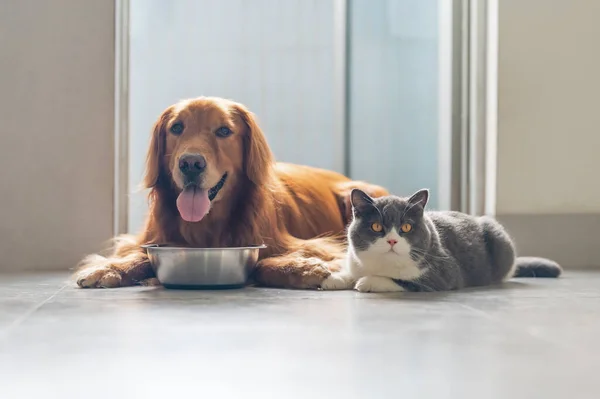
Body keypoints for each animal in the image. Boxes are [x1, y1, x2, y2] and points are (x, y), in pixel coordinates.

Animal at [75, 97, 386, 290]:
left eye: (224, 131)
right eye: (176, 127)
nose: (190, 163)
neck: (207, 227)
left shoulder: (316, 245)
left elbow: (262, 262)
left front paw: (301, 268)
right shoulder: (147, 239)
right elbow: (137, 255)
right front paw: (108, 268)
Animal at [322, 189, 560, 292]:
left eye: (406, 227)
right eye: (377, 227)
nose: (392, 241)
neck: (383, 264)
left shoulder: (443, 274)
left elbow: (403, 281)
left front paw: (367, 282)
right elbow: (352, 271)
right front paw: (334, 279)